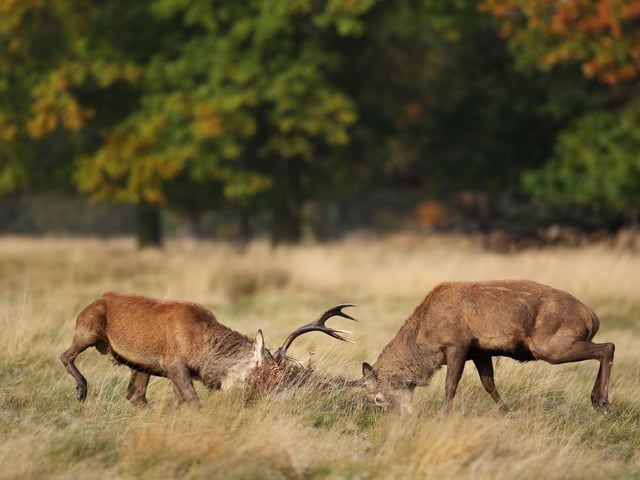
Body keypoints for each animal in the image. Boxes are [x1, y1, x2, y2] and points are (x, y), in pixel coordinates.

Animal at [60, 292, 356, 407]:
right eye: (264, 376)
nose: (279, 399)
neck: (200, 352)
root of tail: (93, 302)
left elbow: (179, 402)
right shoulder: (174, 364)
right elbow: (194, 401)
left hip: (139, 364)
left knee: (135, 395)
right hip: (87, 328)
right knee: (65, 354)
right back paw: (81, 389)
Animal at [361, 280, 615, 415]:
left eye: (378, 399)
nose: (398, 417)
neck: (425, 337)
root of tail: (592, 316)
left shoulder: (457, 344)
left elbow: (450, 386)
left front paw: (445, 416)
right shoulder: (480, 351)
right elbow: (488, 383)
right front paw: (507, 413)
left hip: (550, 345)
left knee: (608, 347)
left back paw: (602, 402)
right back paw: (595, 399)